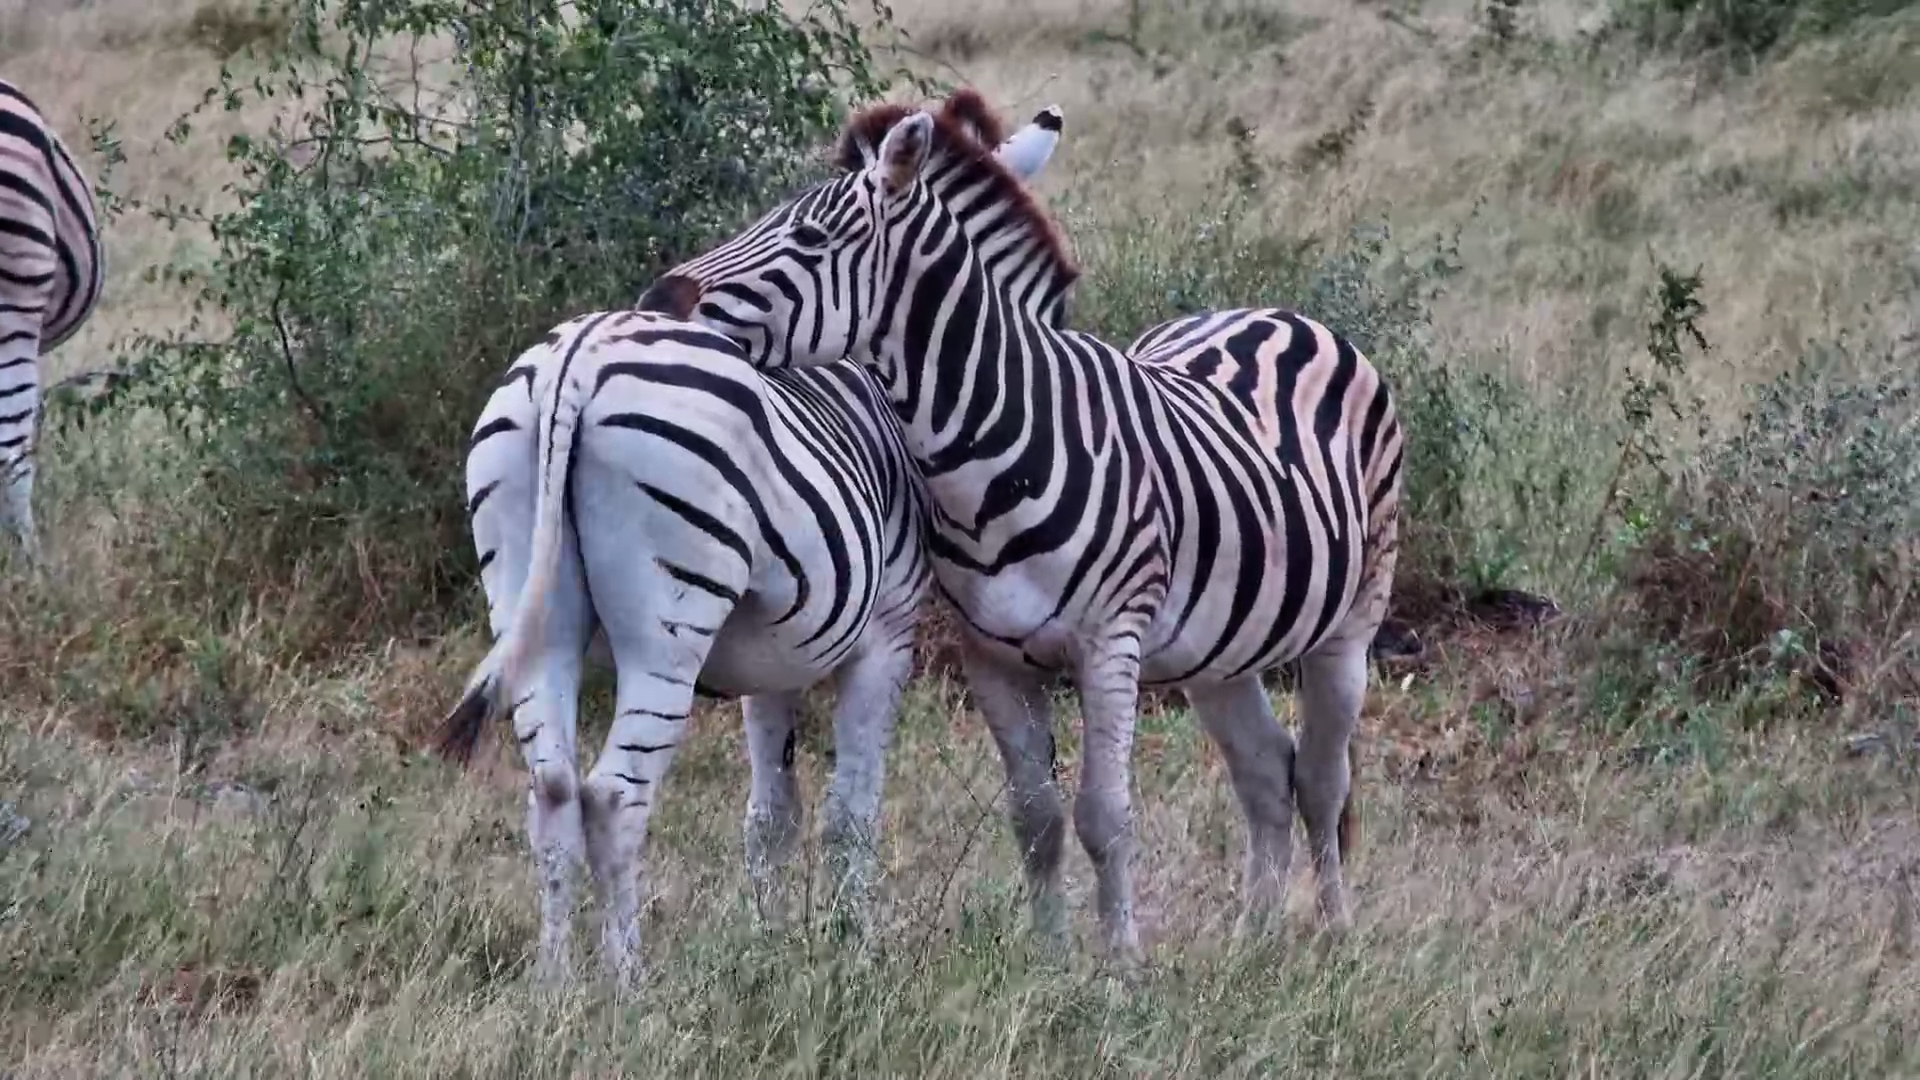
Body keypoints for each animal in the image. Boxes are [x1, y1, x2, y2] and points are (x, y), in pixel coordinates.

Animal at [435, 104, 1065, 987]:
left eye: (805, 234)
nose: (663, 294)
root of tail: (579, 360)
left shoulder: (773, 660)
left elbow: (770, 815)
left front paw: (768, 947)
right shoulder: (887, 634)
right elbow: (849, 813)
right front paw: (851, 951)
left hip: (529, 595)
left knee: (553, 789)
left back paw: (556, 986)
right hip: (669, 621)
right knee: (613, 795)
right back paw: (628, 989)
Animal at [635, 92, 1405, 965]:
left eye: (809, 240)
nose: (659, 300)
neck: (993, 454)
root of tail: (1270, 313)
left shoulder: (1111, 644)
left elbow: (1104, 815)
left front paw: (1120, 968)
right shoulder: (994, 658)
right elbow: (1034, 817)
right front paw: (1051, 960)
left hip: (1349, 624)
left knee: (1321, 780)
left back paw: (1334, 935)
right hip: (1219, 652)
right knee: (1267, 773)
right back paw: (1254, 943)